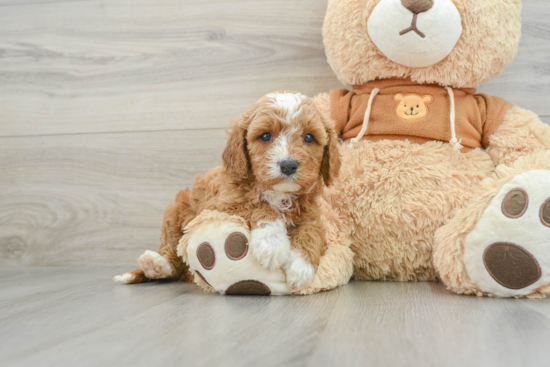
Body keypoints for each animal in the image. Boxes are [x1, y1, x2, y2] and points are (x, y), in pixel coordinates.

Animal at [113, 91, 340, 290]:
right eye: (266, 136)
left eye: (309, 138)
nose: (288, 165)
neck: (279, 193)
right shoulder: (221, 205)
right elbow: (259, 206)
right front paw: (272, 244)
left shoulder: (312, 215)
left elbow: (313, 232)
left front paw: (301, 267)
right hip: (175, 212)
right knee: (173, 254)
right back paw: (155, 265)